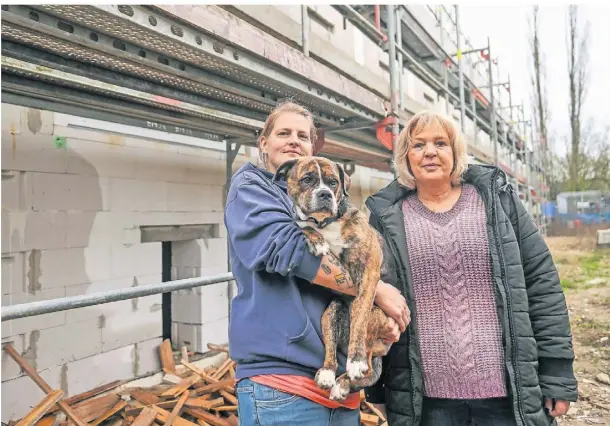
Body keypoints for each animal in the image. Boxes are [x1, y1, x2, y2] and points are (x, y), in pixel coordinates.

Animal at [272, 156, 390, 400]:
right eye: (307, 179)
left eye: (333, 182)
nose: (325, 194)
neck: (326, 223)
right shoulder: (301, 223)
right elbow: (300, 225)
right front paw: (316, 240)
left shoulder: (369, 270)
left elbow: (359, 321)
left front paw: (355, 361)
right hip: (330, 314)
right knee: (331, 351)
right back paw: (327, 374)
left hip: (375, 316)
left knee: (367, 366)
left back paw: (345, 379)